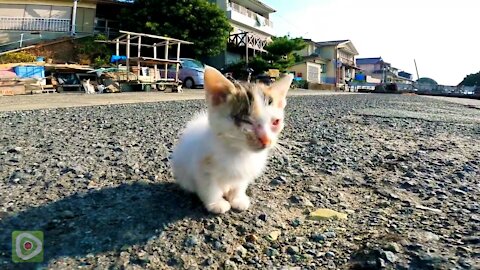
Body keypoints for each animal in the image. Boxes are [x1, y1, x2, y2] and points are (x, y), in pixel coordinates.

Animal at [172, 66, 292, 214]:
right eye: (246, 121)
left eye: (275, 122)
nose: (266, 140)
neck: (238, 151)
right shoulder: (202, 167)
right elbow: (209, 187)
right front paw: (216, 203)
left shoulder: (244, 171)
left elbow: (239, 185)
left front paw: (238, 199)